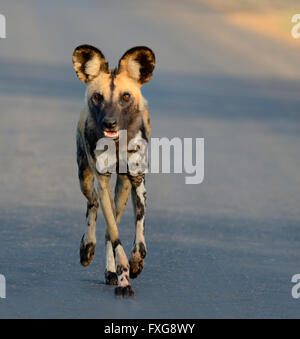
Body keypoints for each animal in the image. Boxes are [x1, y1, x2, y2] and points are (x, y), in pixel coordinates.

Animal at [72, 45, 155, 298]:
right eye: (97, 97)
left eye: (125, 97)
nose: (110, 123)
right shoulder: (102, 181)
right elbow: (116, 235)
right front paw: (124, 280)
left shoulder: (138, 181)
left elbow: (138, 230)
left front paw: (136, 263)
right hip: (86, 178)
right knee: (94, 205)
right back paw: (87, 249)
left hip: (124, 189)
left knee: (111, 226)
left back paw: (110, 271)